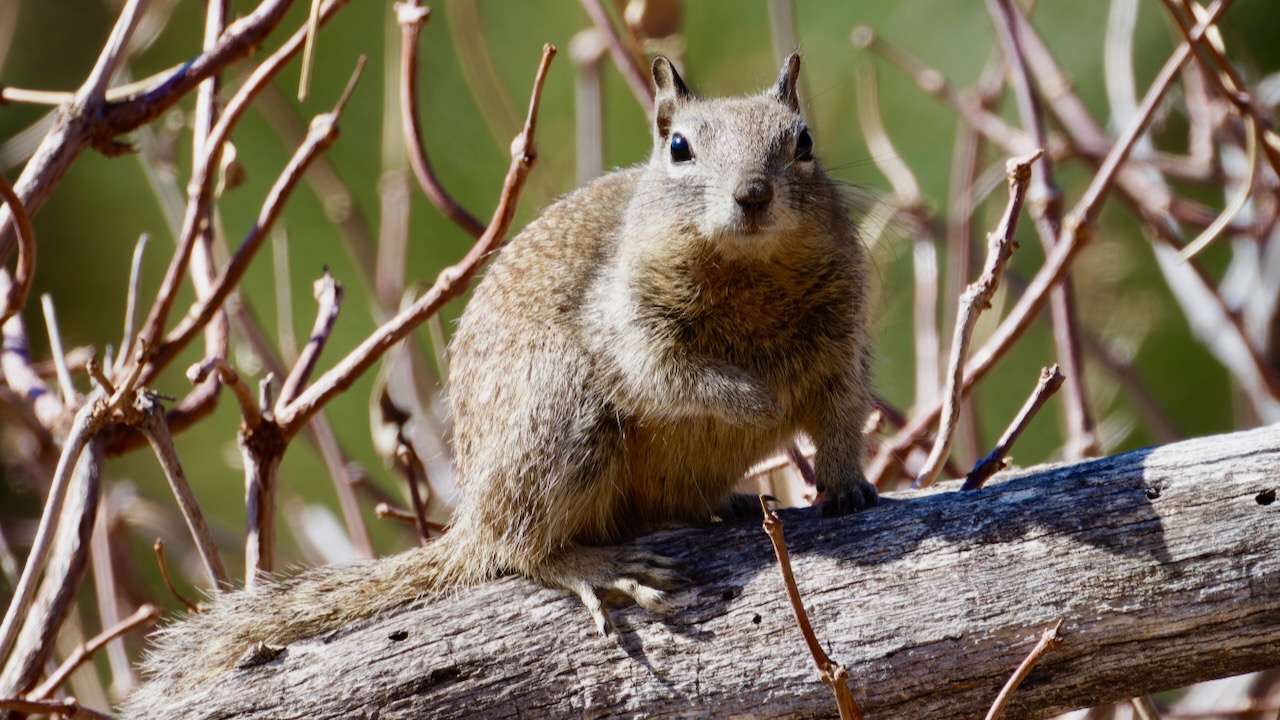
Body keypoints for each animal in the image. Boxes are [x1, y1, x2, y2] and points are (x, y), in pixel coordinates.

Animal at [120, 53, 875, 712]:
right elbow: (669, 378)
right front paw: (754, 399)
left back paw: (727, 506)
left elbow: (840, 419)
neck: (749, 273)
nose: (752, 195)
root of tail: (471, 519)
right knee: (520, 549)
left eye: (803, 141)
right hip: (566, 416)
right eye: (680, 148)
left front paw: (848, 487)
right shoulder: (628, 324)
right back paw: (598, 569)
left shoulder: (843, 346)